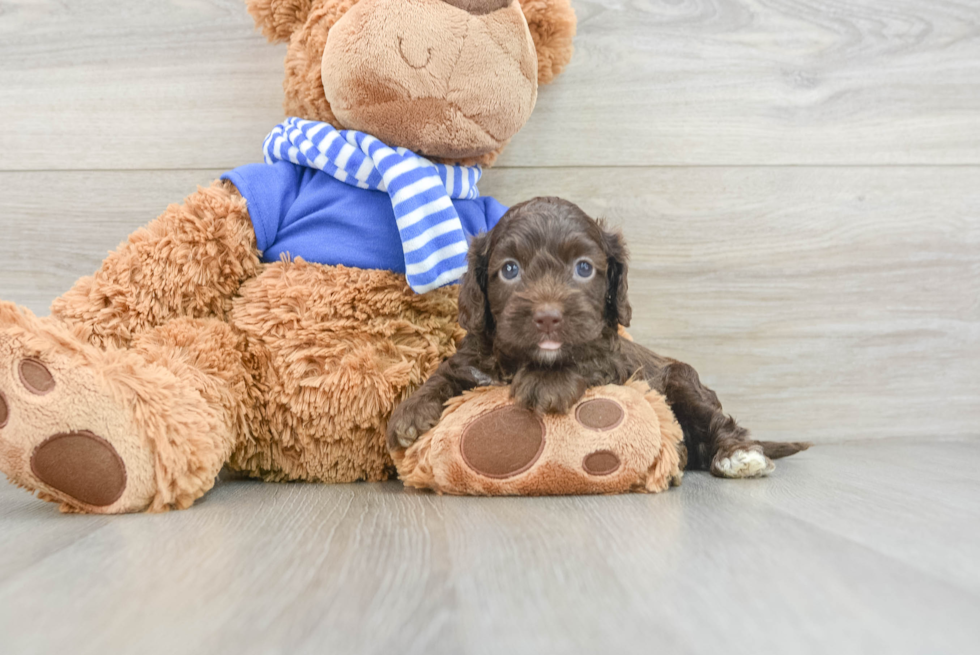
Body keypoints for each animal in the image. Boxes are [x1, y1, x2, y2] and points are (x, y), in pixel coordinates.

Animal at [386, 195, 808, 476]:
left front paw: (546, 383)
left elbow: (584, 360)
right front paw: (410, 411)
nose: (548, 317)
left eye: (584, 267)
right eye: (509, 269)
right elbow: (447, 371)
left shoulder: (612, 360)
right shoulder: (475, 358)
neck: (525, 359)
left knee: (716, 421)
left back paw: (739, 455)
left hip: (683, 381)